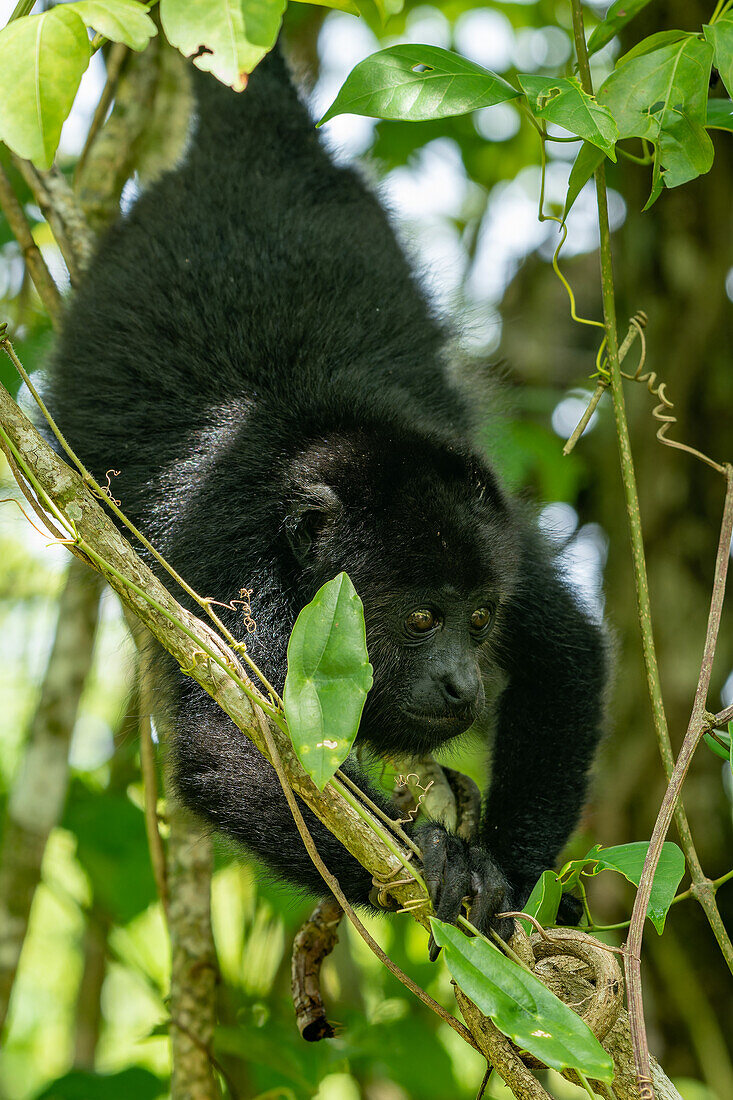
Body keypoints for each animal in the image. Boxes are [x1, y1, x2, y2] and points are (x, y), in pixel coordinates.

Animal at [47, 49, 603, 946]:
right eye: (422, 618)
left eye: (480, 618)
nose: (464, 685)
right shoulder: (236, 561)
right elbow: (227, 747)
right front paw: (430, 857)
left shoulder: (499, 533)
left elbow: (567, 655)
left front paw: (505, 875)